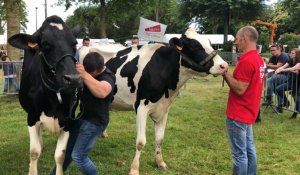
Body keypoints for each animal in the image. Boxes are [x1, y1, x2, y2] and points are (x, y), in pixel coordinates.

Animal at [7, 15, 82, 175]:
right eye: (45, 44)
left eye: (74, 43)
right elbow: (34, 151)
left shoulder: (68, 120)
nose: (73, 79)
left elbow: (60, 155)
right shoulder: (31, 116)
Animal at [79, 27, 227, 175]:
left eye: (210, 42)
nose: (224, 65)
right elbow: (141, 142)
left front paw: (160, 163)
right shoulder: (141, 107)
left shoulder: (164, 109)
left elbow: (160, 138)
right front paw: (134, 169)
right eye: (195, 45)